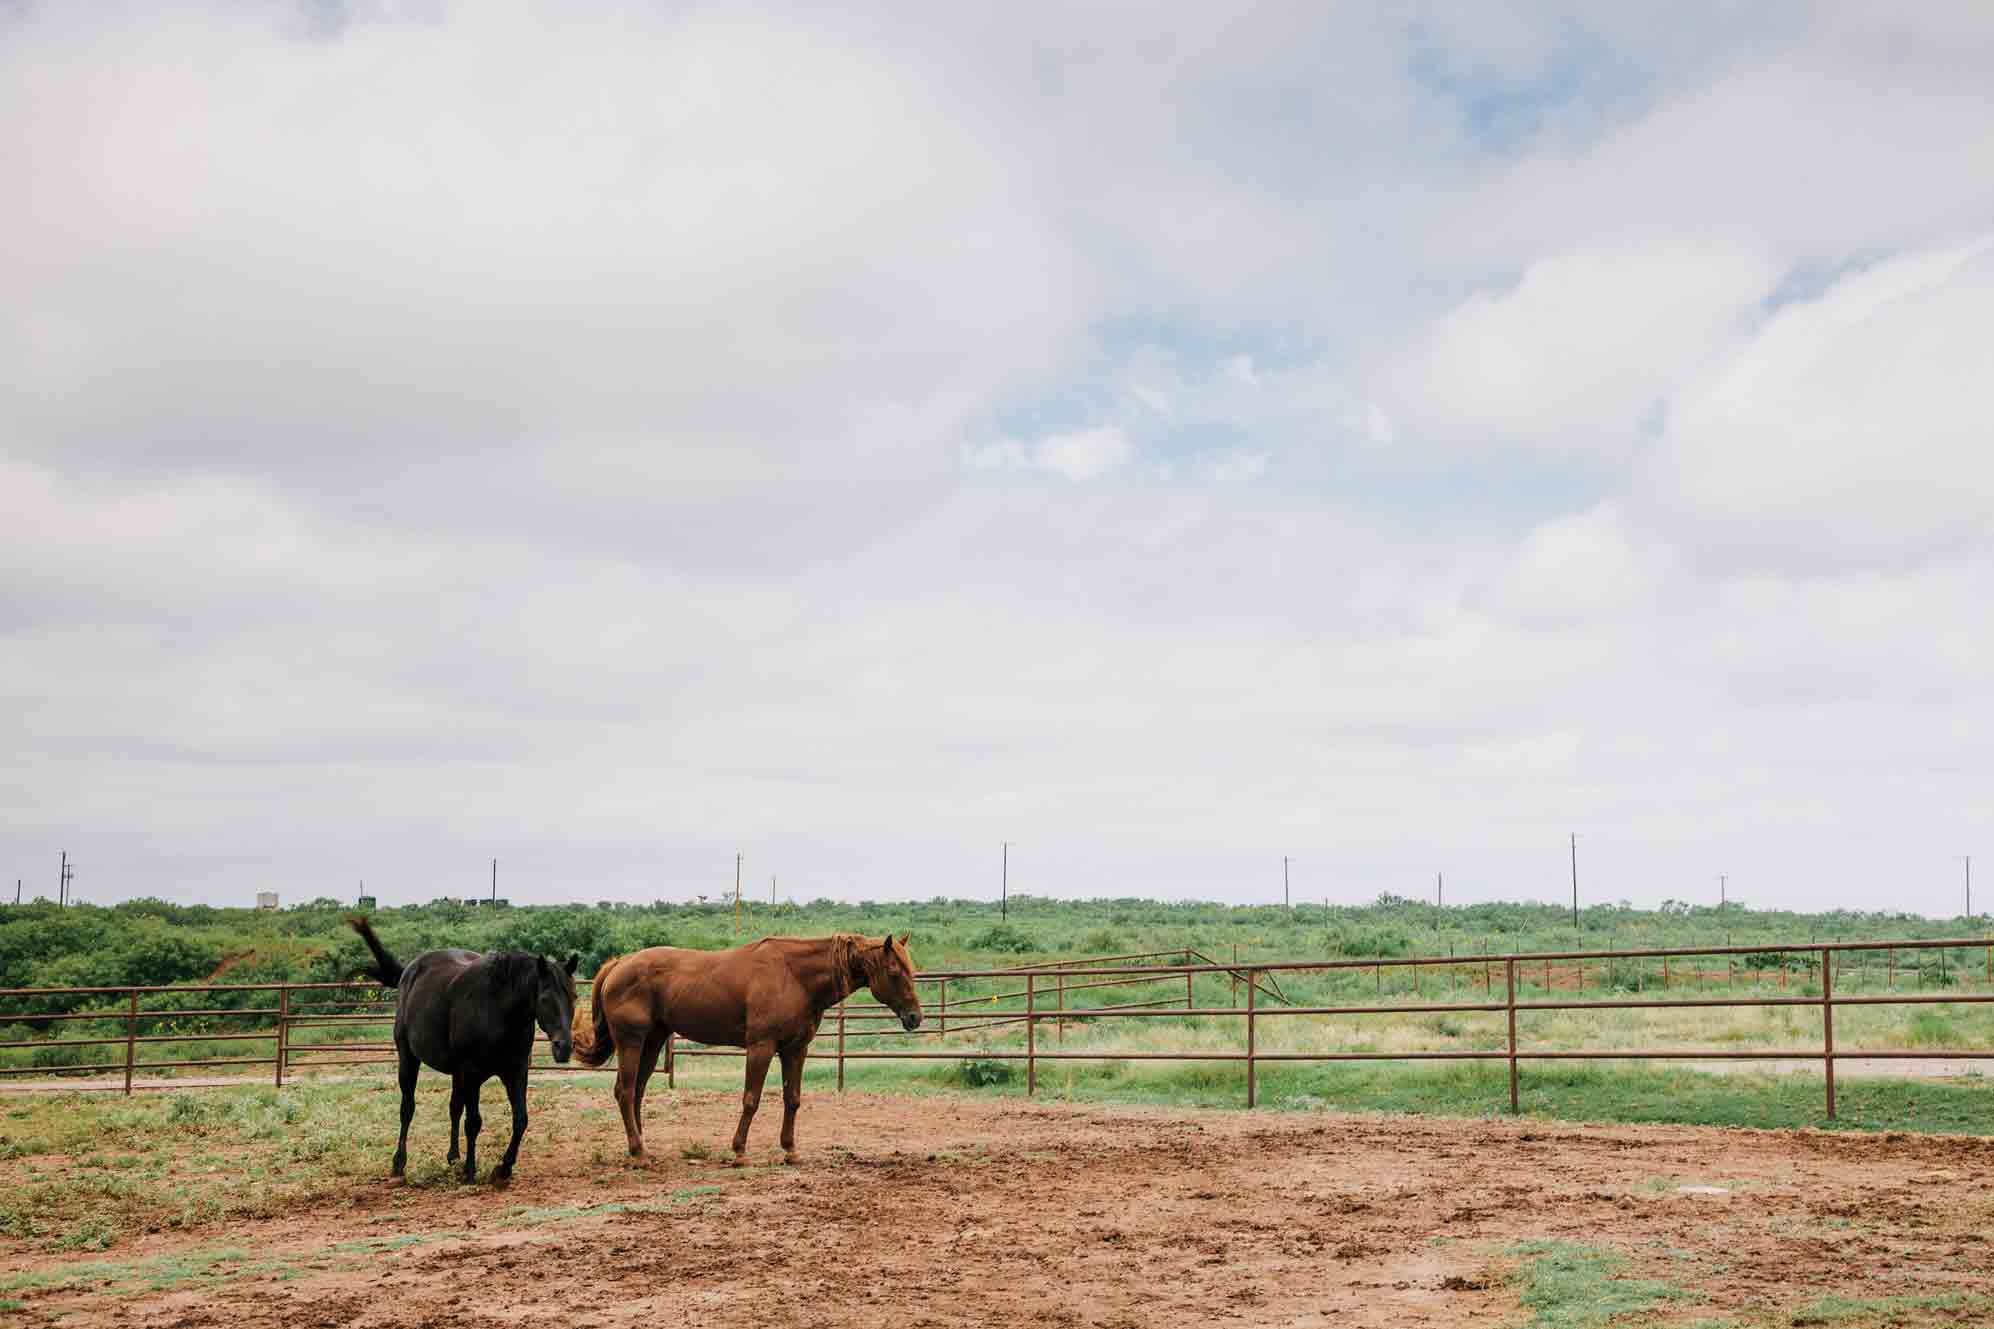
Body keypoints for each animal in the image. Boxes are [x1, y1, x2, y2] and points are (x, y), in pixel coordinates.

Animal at [348, 909, 582, 1181]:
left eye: (574, 996)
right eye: (544, 999)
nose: (564, 1047)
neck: (498, 1009)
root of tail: (410, 970)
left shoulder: (515, 1071)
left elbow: (520, 1119)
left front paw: (503, 1168)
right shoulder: (472, 1073)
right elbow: (474, 1122)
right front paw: (471, 1171)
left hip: (456, 1073)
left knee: (454, 1108)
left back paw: (453, 1156)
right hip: (409, 1058)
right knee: (407, 1108)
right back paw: (399, 1163)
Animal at [574, 929, 921, 1157]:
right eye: (894, 971)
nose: (915, 1017)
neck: (793, 976)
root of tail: (619, 964)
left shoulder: (795, 1050)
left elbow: (792, 1098)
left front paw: (790, 1149)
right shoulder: (761, 1048)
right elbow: (751, 1099)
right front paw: (738, 1150)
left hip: (653, 1041)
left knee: (637, 1091)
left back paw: (639, 1146)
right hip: (631, 1042)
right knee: (625, 1091)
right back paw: (637, 1152)